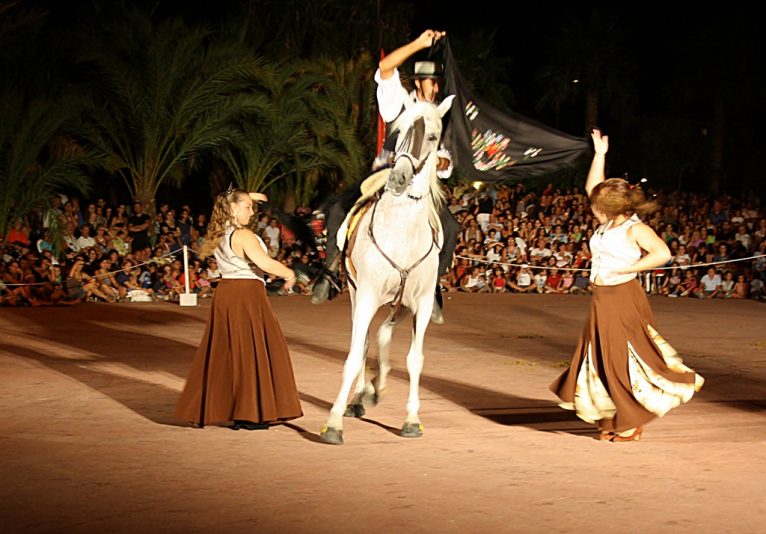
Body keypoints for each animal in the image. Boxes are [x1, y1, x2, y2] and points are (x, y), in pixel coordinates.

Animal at [320, 94, 452, 446]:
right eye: (399, 131)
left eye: (432, 137)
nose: (398, 178)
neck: (402, 232)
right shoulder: (366, 295)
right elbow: (355, 355)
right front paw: (334, 423)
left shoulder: (420, 303)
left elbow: (414, 359)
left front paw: (412, 420)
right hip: (358, 296)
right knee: (366, 341)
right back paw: (360, 396)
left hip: (401, 303)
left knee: (382, 335)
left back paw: (372, 390)